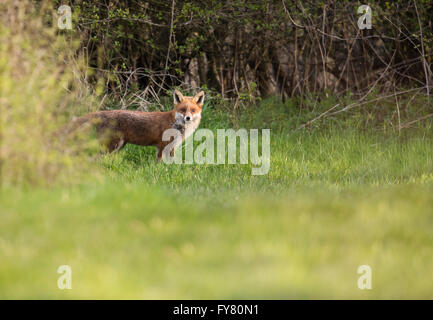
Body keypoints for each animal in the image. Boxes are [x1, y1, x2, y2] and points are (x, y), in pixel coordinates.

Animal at [70, 90, 205, 160]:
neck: (175, 124)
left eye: (193, 110)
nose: (188, 118)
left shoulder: (171, 147)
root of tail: (103, 112)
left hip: (118, 146)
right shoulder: (162, 145)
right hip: (113, 145)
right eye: (183, 110)